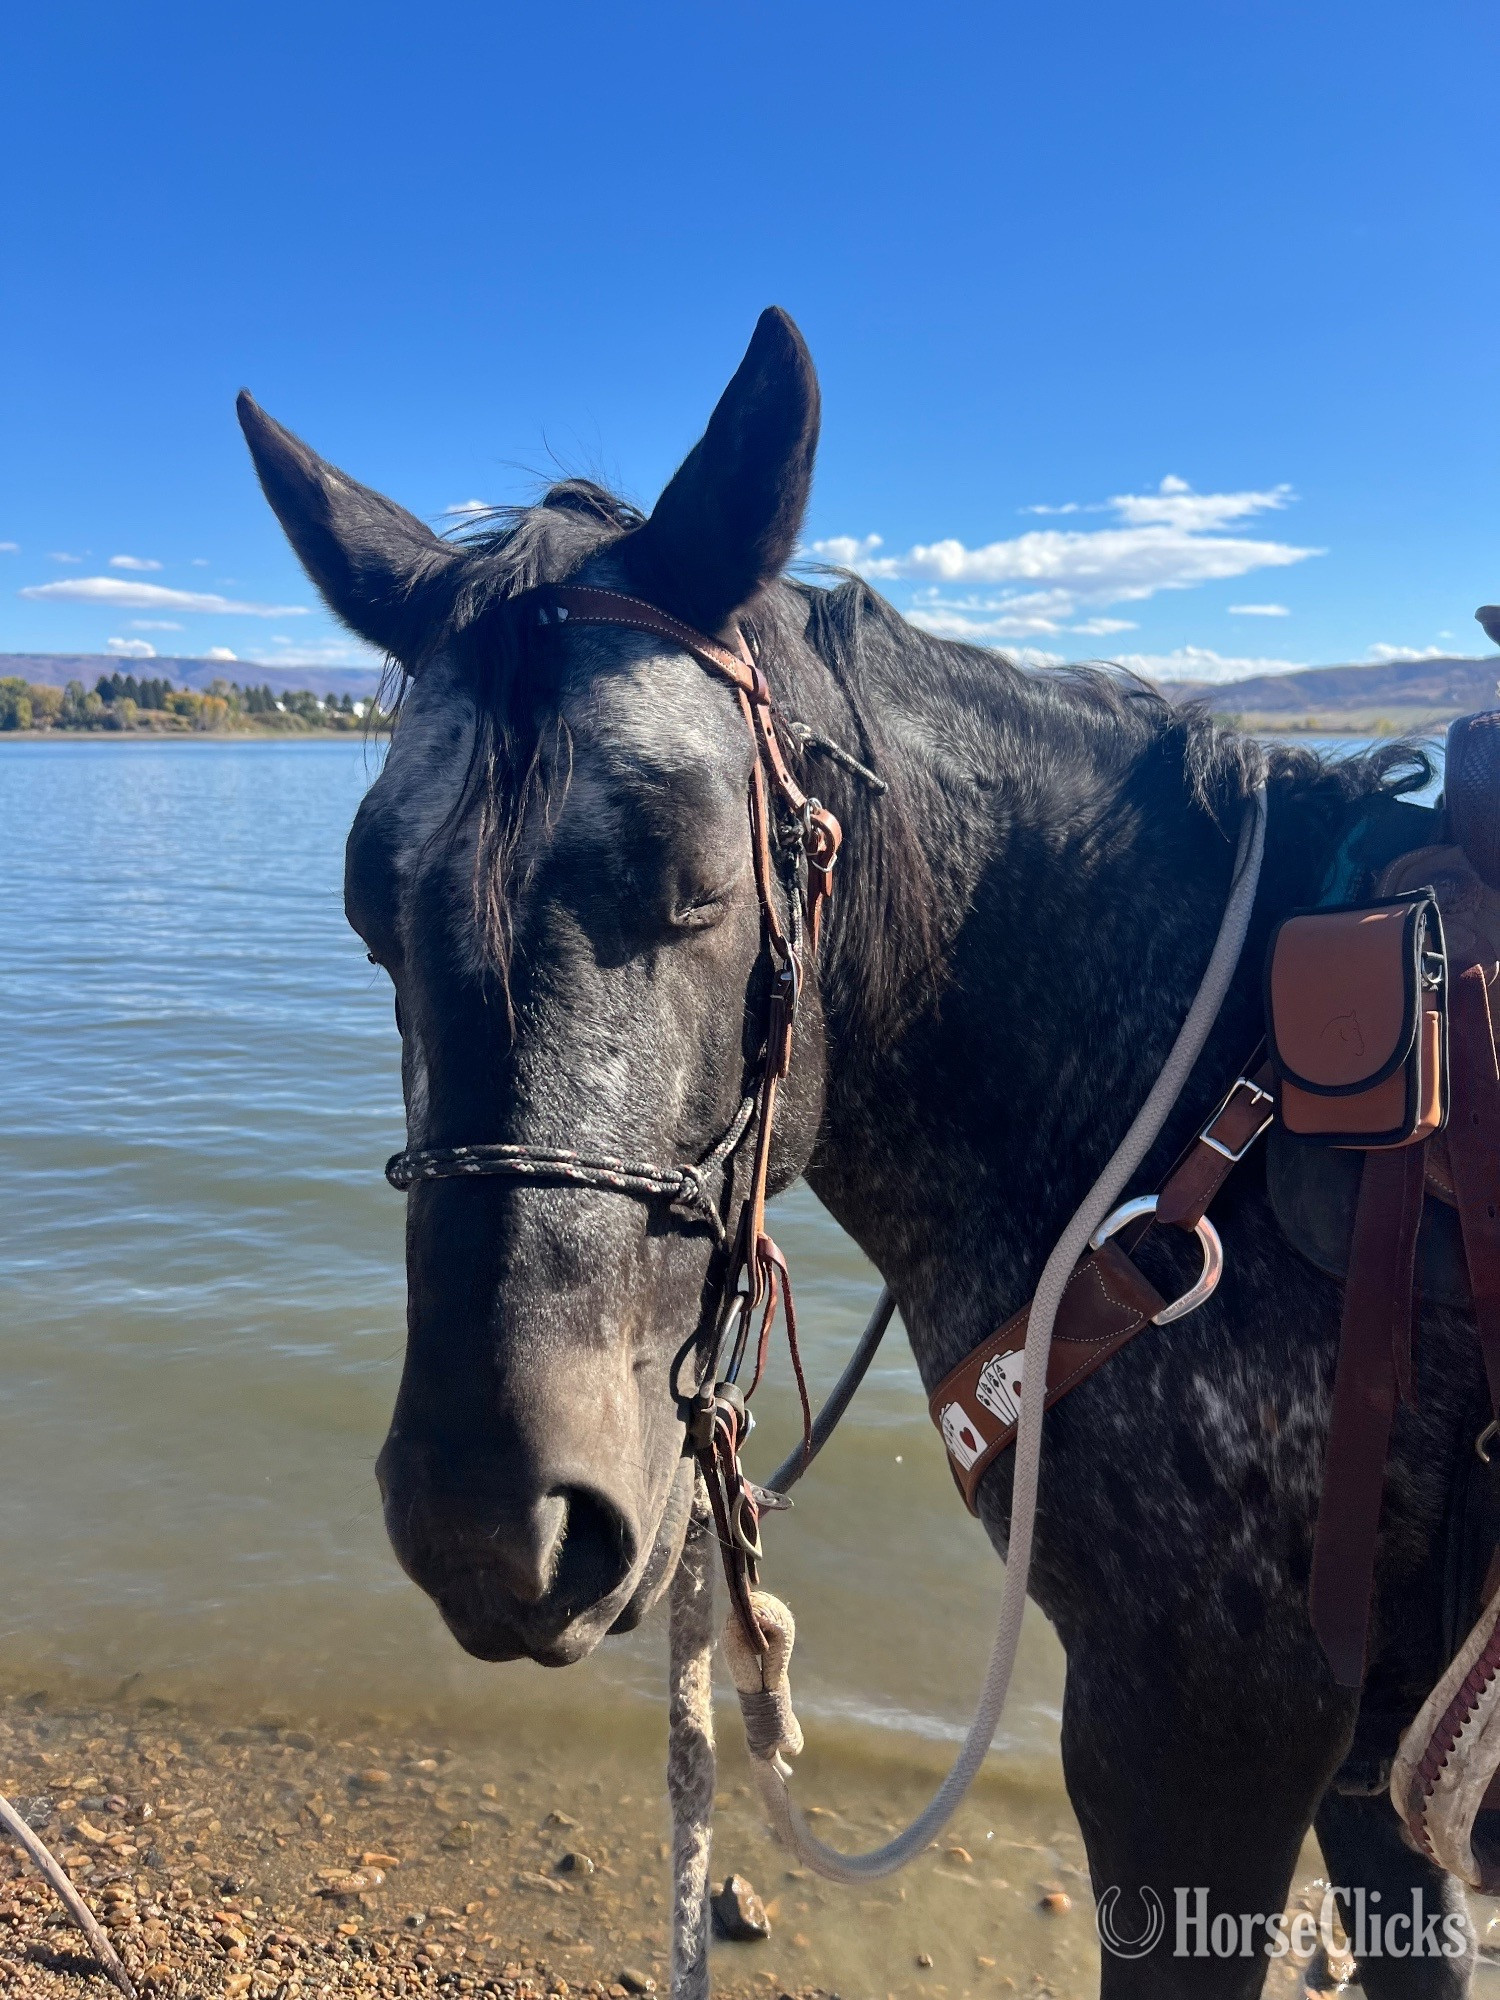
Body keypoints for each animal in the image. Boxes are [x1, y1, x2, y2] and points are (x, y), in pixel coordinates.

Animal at [238, 309, 1489, 1997]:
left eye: (699, 876)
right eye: (370, 904)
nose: (491, 1529)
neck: (1215, 1087)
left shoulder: (1208, 1727)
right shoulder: (1361, 1764)